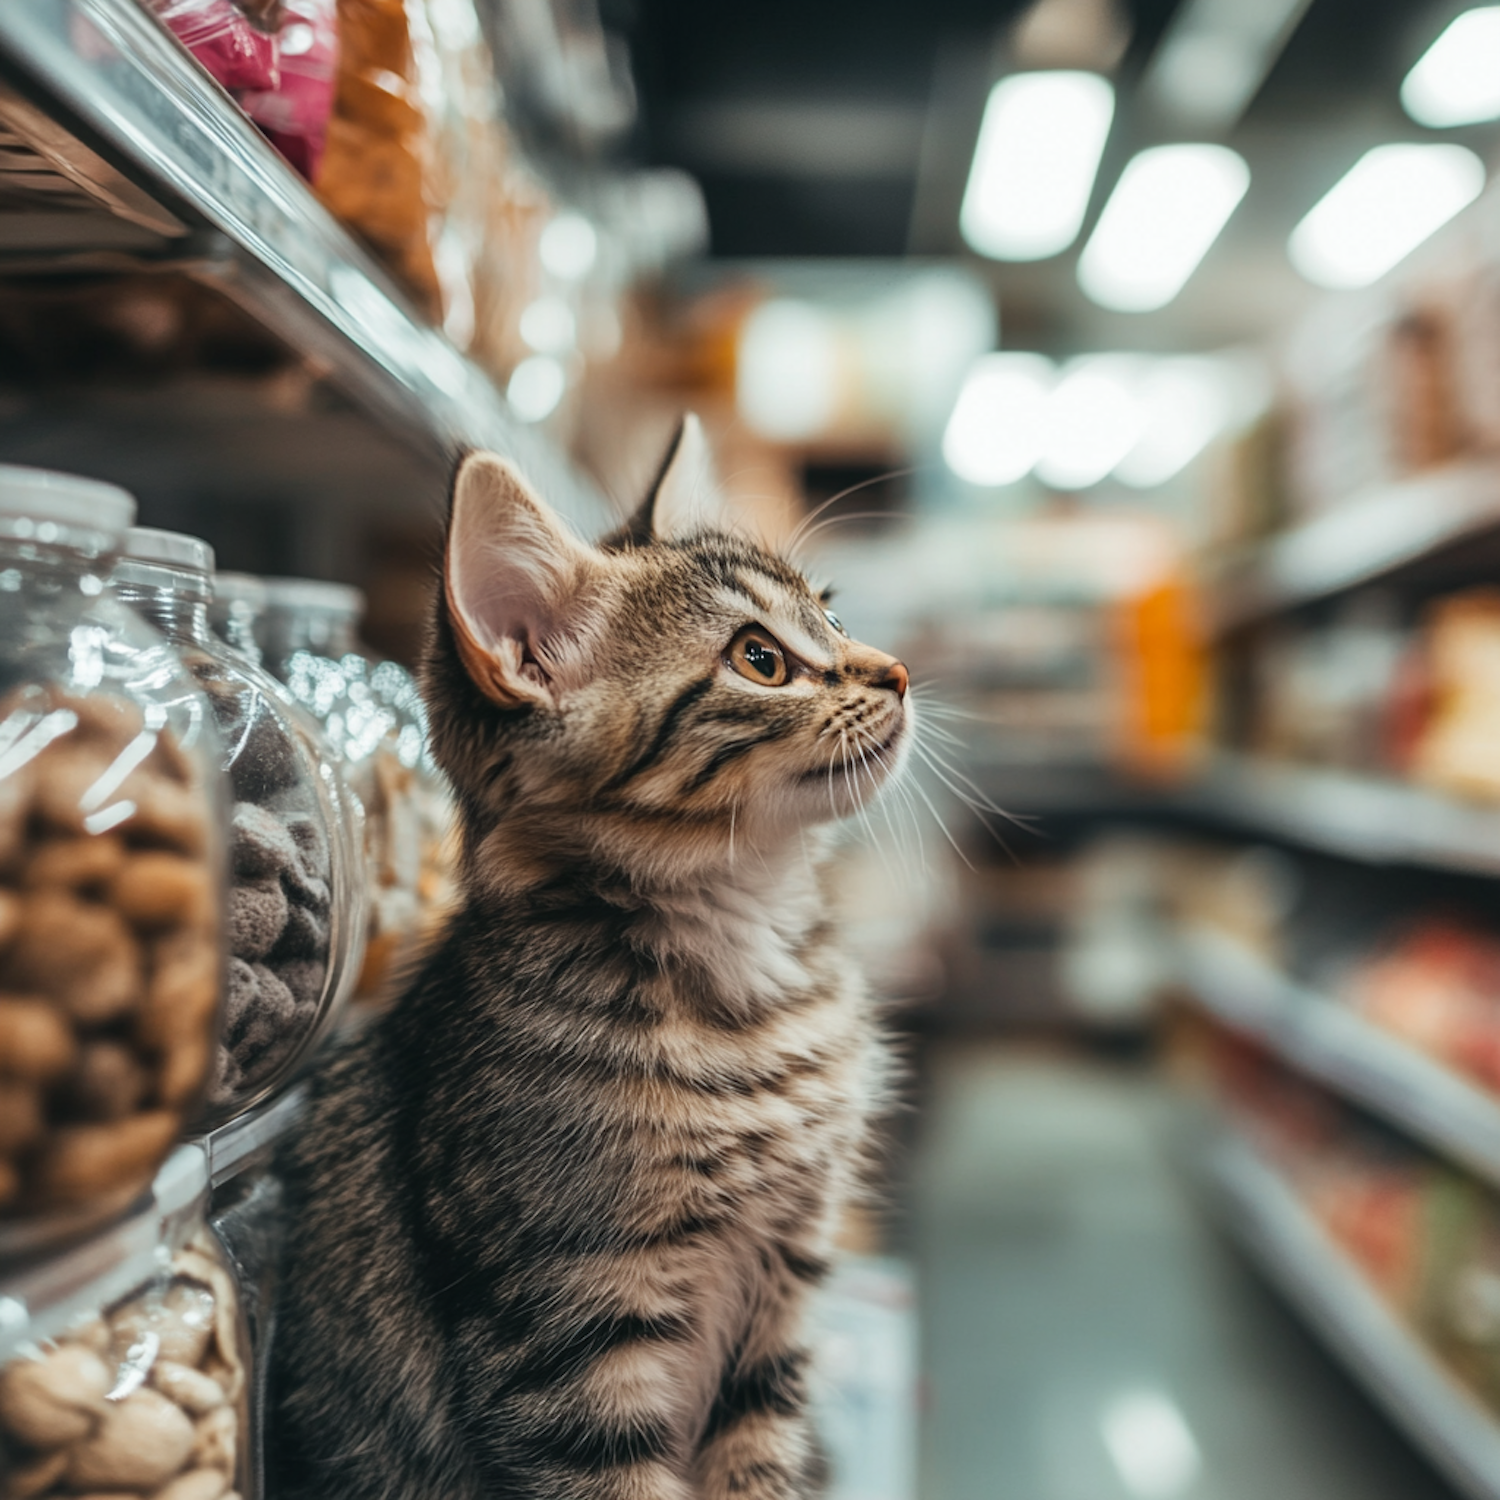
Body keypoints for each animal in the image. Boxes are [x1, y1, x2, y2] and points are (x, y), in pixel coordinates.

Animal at [270, 420, 912, 1500]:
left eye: (831, 611)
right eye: (760, 659)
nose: (898, 671)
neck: (744, 962)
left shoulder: (781, 1307)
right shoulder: (570, 1335)